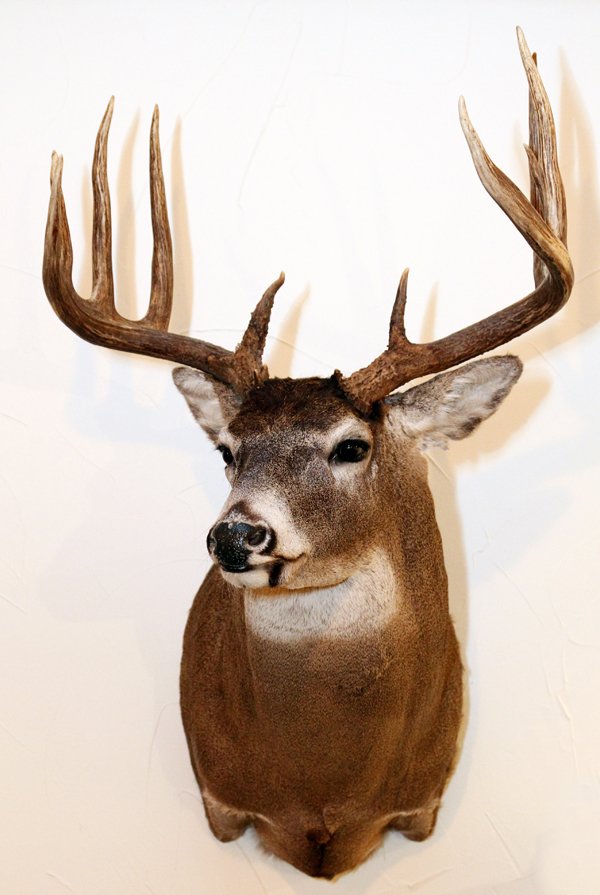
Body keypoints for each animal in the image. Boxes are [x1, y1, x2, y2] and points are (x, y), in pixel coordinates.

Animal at [42, 29, 572, 879]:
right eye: (227, 450)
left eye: (351, 445)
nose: (236, 533)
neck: (324, 787)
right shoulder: (222, 800)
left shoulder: (421, 804)